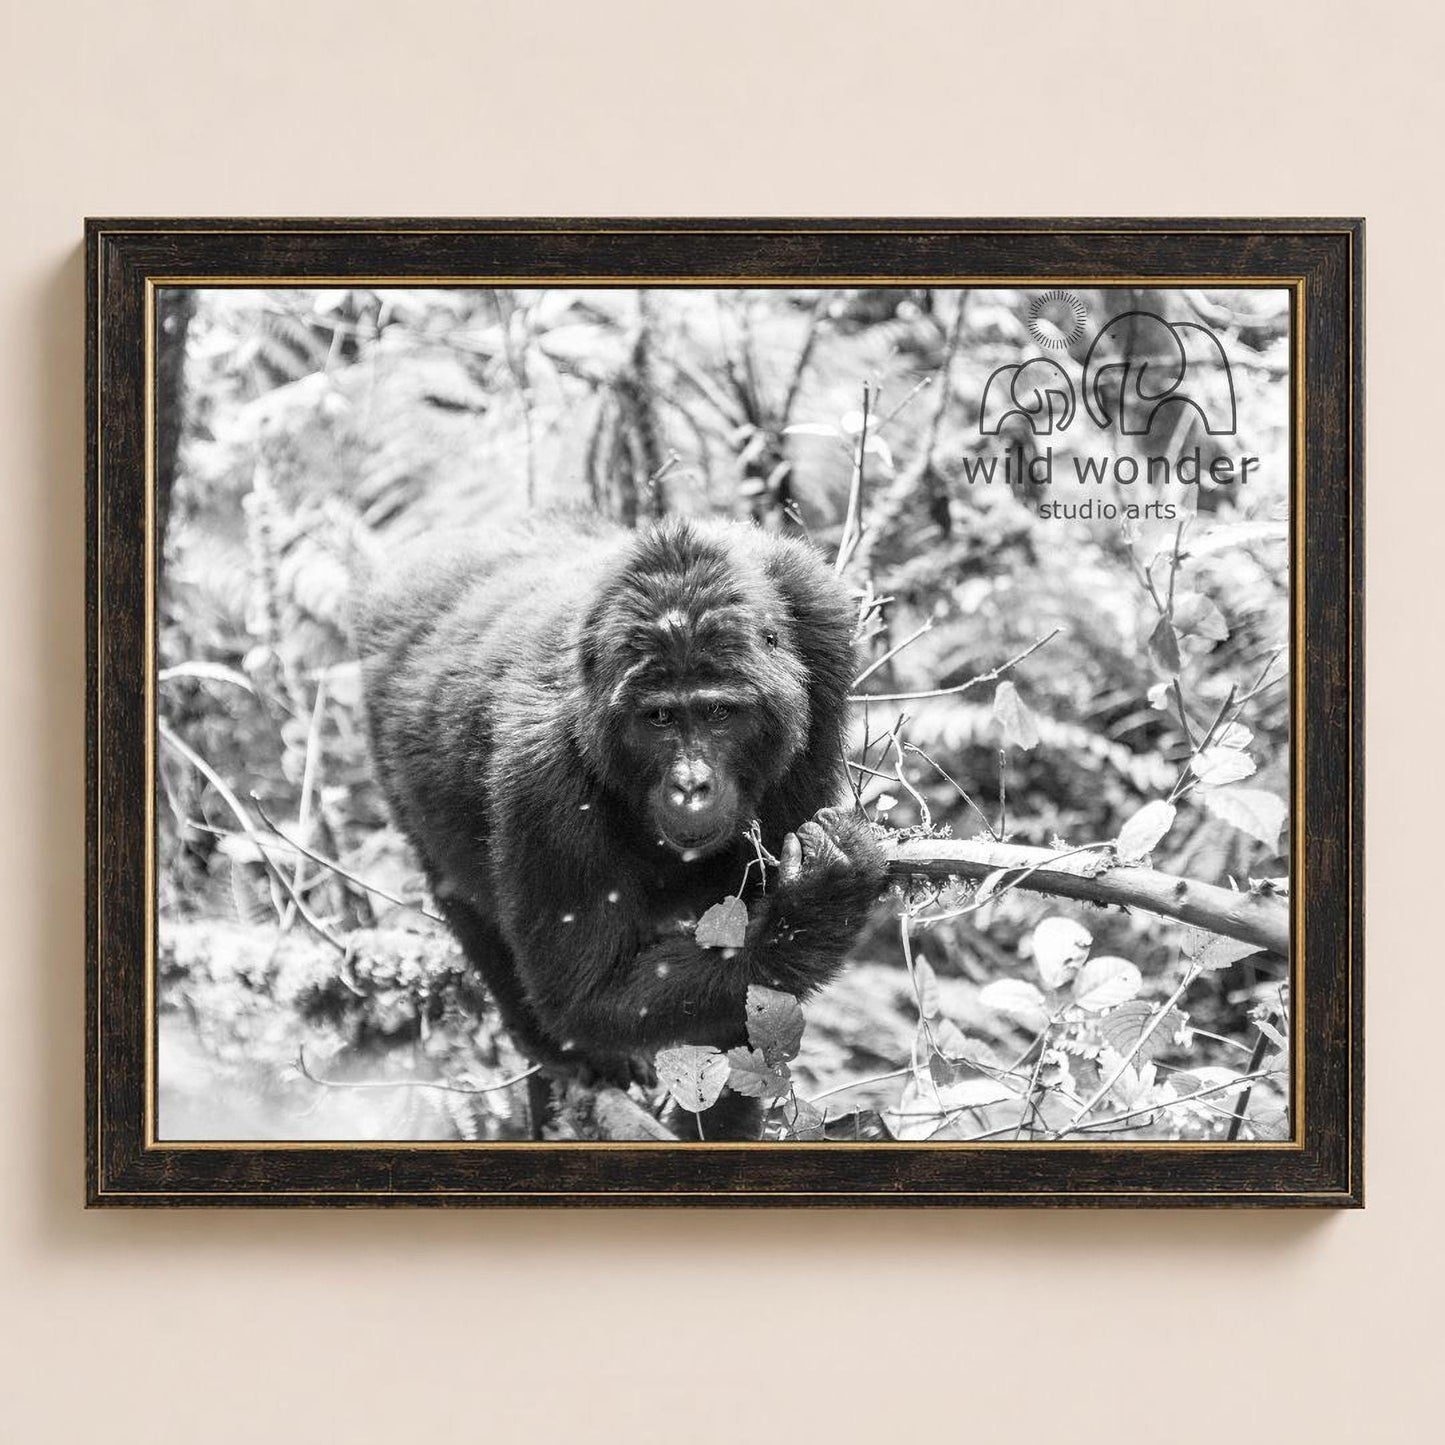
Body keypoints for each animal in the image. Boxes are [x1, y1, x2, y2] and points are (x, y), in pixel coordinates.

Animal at [354, 512, 887, 1139]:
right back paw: (552, 1052)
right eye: (658, 718)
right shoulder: (540, 776)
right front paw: (813, 909)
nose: (691, 786)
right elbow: (586, 997)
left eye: (718, 713)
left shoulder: (823, 630)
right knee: (459, 893)